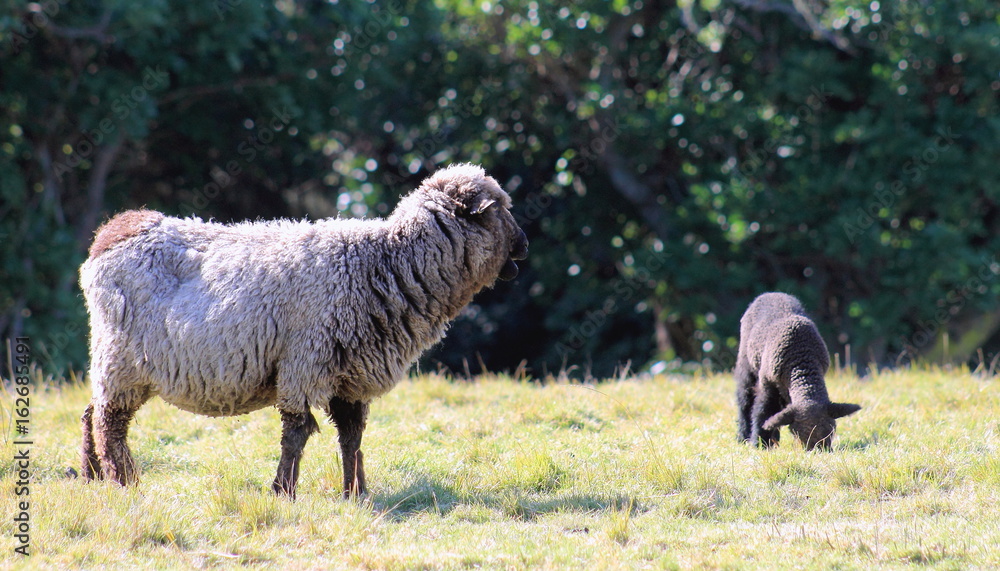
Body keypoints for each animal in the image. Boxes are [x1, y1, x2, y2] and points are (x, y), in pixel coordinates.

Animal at [79, 164, 528, 498]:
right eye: (499, 209)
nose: (524, 244)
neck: (386, 261)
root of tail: (117, 228)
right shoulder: (304, 363)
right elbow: (296, 433)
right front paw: (283, 491)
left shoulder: (351, 375)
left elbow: (351, 437)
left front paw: (355, 493)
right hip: (120, 359)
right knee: (108, 423)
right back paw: (124, 482)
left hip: (117, 362)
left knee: (89, 413)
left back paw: (91, 477)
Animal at [734, 292, 860, 450]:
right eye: (798, 432)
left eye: (832, 430)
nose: (820, 451)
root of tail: (772, 293)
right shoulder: (767, 384)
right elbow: (762, 412)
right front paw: (759, 444)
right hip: (746, 364)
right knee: (744, 400)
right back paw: (742, 436)